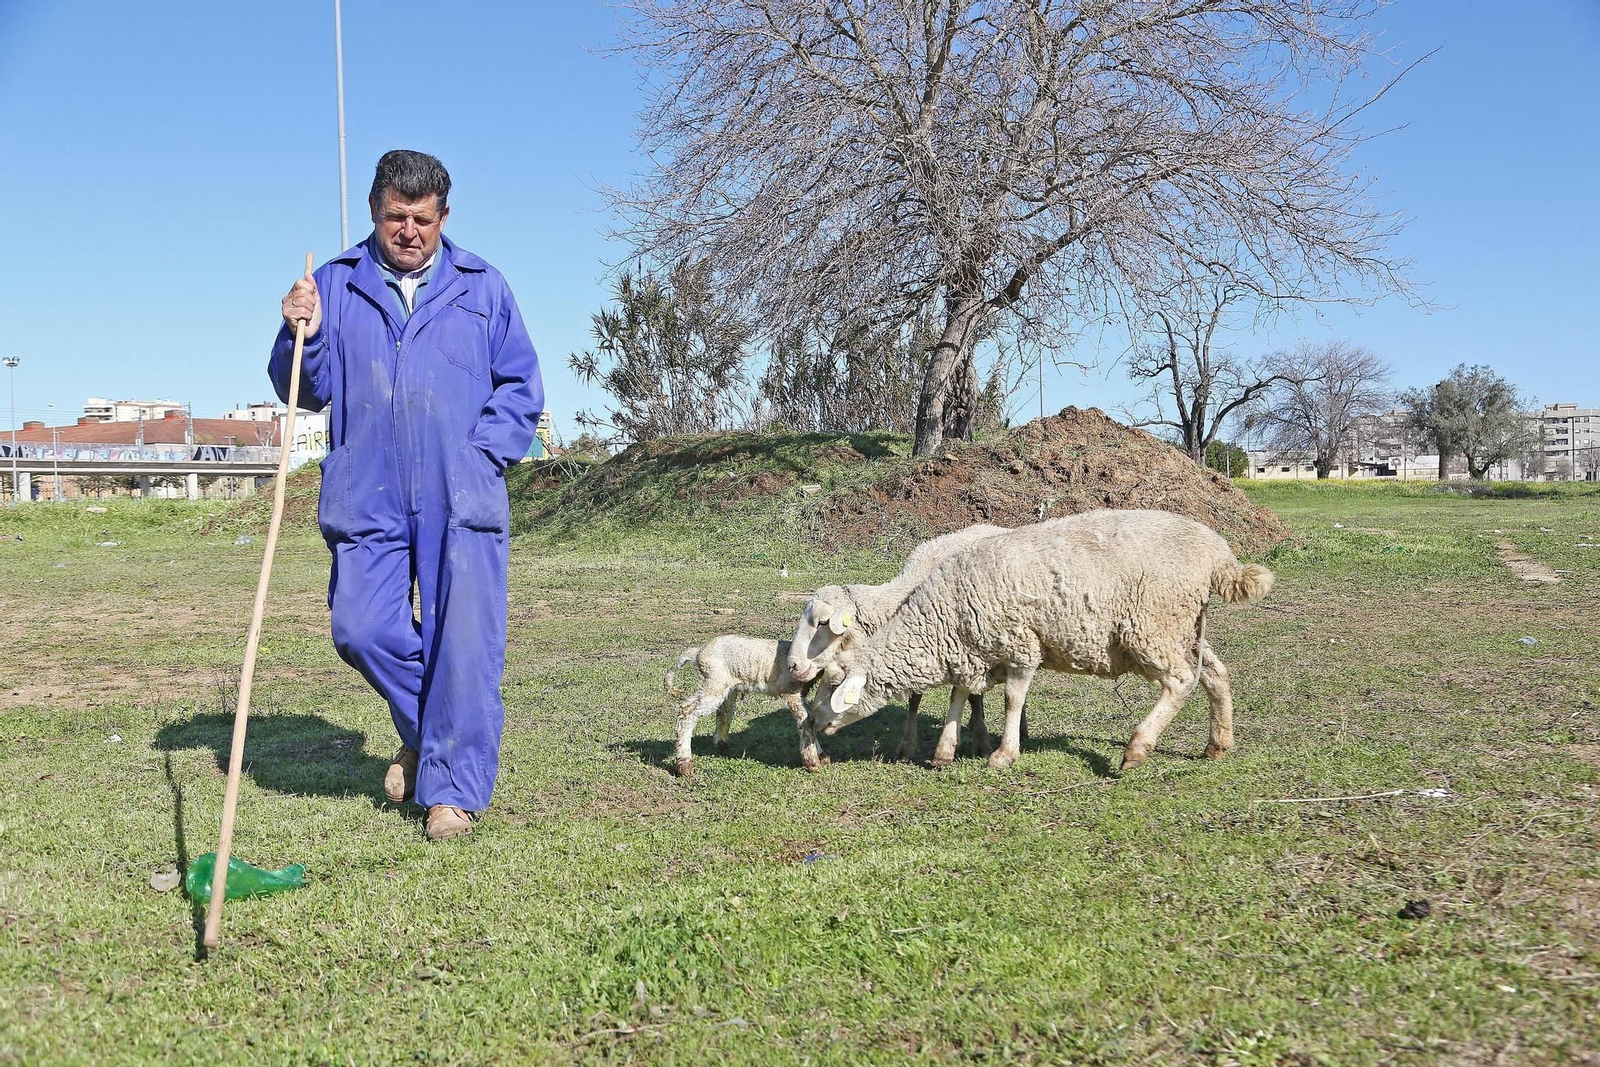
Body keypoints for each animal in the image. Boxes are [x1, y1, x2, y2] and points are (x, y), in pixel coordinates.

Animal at [786, 523, 1029, 761]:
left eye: (822, 622)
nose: (792, 665)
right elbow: (917, 698)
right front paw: (908, 746)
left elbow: (967, 697)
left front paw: (982, 742)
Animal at [810, 509, 1274, 773]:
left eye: (833, 684)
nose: (812, 722)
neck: (941, 617)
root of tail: (1218, 554)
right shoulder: (973, 650)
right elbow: (960, 694)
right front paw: (945, 751)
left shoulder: (1020, 644)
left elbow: (1012, 699)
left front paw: (1003, 754)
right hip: (1184, 626)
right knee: (1213, 674)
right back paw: (1218, 744)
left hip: (1151, 624)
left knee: (1179, 681)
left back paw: (1137, 748)